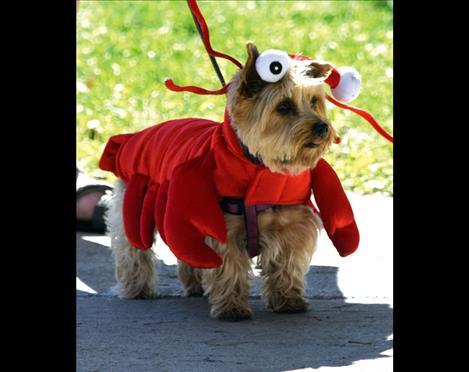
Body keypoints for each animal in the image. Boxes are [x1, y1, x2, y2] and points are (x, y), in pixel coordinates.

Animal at [104, 41, 342, 320]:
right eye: (284, 107)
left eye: (314, 101)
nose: (322, 127)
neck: (260, 165)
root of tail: (133, 137)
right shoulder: (221, 224)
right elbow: (229, 266)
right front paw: (231, 308)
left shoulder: (291, 224)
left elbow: (286, 263)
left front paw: (288, 300)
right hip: (137, 199)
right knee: (132, 247)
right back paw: (137, 287)